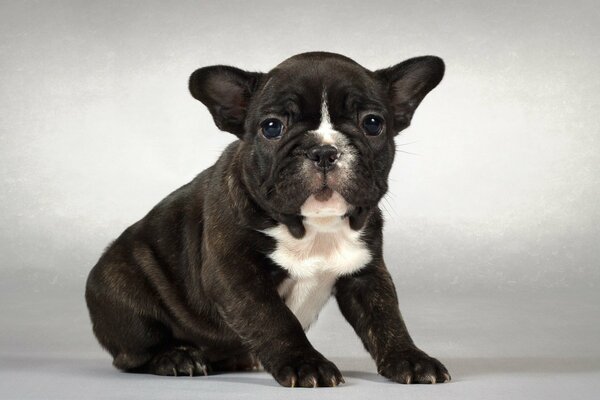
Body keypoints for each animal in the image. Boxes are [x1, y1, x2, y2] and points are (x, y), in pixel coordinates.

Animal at [85, 52, 450, 388]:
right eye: (272, 127)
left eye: (372, 123)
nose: (323, 151)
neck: (313, 227)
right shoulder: (236, 275)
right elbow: (274, 319)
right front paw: (306, 364)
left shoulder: (366, 272)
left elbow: (386, 317)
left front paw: (410, 358)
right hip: (121, 287)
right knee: (133, 354)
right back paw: (175, 358)